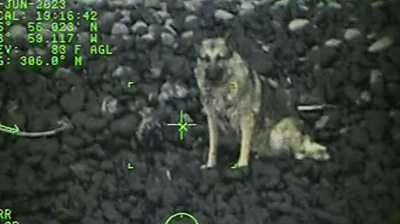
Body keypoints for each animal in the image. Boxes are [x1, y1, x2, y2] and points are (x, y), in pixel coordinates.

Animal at [193, 37, 328, 169]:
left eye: (220, 57)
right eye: (205, 59)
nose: (210, 76)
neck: (221, 87)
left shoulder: (246, 118)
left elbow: (245, 144)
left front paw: (242, 164)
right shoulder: (213, 119)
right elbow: (213, 144)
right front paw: (210, 164)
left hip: (277, 132)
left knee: (297, 153)